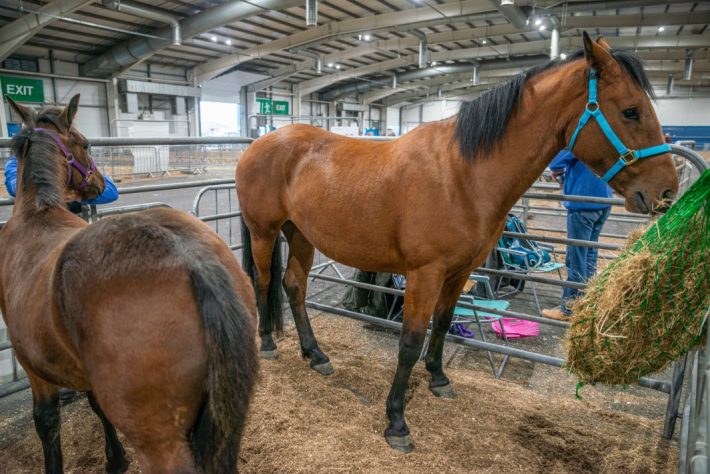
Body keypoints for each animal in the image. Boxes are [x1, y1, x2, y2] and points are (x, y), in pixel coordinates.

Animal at [0, 94, 262, 472]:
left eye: (85, 142)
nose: (100, 184)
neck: (37, 214)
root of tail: (190, 258)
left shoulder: (34, 368)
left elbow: (47, 422)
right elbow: (95, 404)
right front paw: (116, 459)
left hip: (159, 442)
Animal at [236, 33, 680, 452]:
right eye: (631, 110)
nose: (666, 192)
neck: (463, 174)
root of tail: (258, 144)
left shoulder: (461, 271)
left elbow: (445, 324)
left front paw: (438, 379)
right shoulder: (425, 274)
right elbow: (410, 342)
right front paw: (396, 422)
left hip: (300, 235)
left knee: (294, 287)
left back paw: (316, 355)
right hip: (264, 232)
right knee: (263, 281)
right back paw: (268, 343)